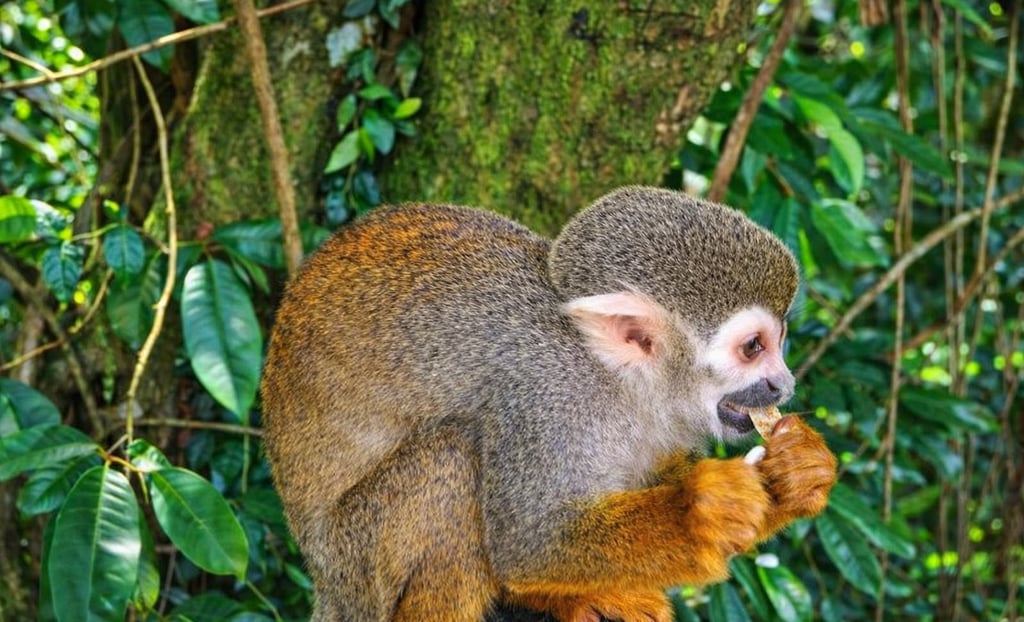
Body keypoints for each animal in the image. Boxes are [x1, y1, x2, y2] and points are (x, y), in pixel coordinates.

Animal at [260, 186, 837, 622]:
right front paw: (702, 510)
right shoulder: (543, 395)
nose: (782, 385)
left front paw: (794, 474)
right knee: (455, 457)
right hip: (356, 561)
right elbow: (529, 540)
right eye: (753, 348)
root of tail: (324, 580)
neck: (614, 378)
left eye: (780, 341)